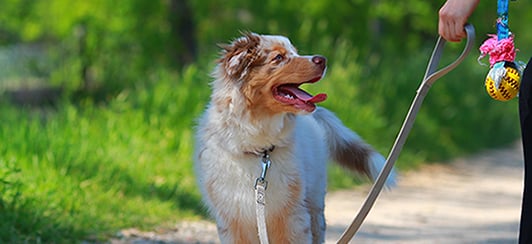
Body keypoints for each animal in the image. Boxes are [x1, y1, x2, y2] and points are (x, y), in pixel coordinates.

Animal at [195, 33, 394, 244]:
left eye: (296, 52)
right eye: (278, 57)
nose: (322, 59)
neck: (260, 148)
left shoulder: (291, 217)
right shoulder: (232, 220)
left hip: (315, 203)